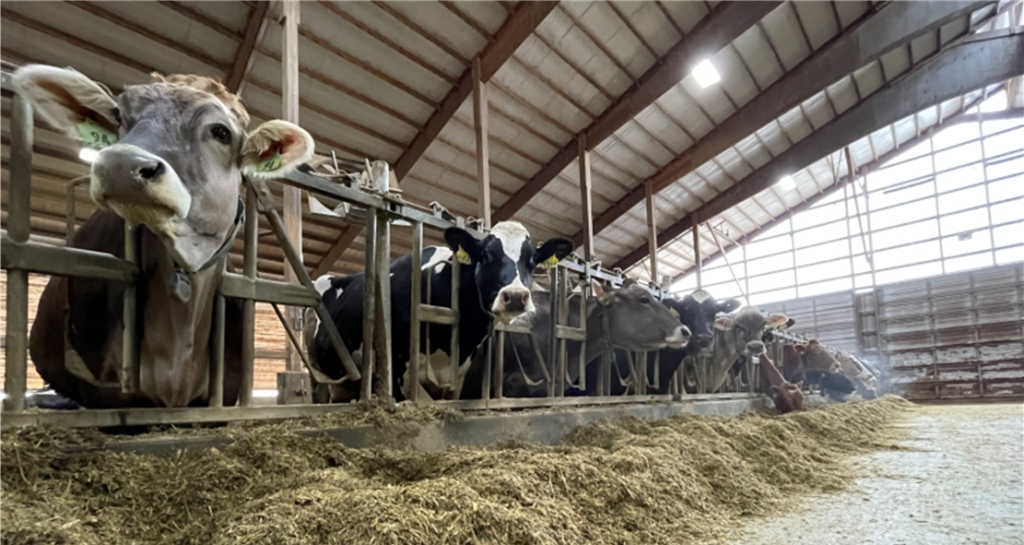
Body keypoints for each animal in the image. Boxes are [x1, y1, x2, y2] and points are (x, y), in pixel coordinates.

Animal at [311, 219, 577, 401]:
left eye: (532, 260)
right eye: (486, 254)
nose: (515, 296)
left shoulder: (456, 377)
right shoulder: (394, 370)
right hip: (320, 375)